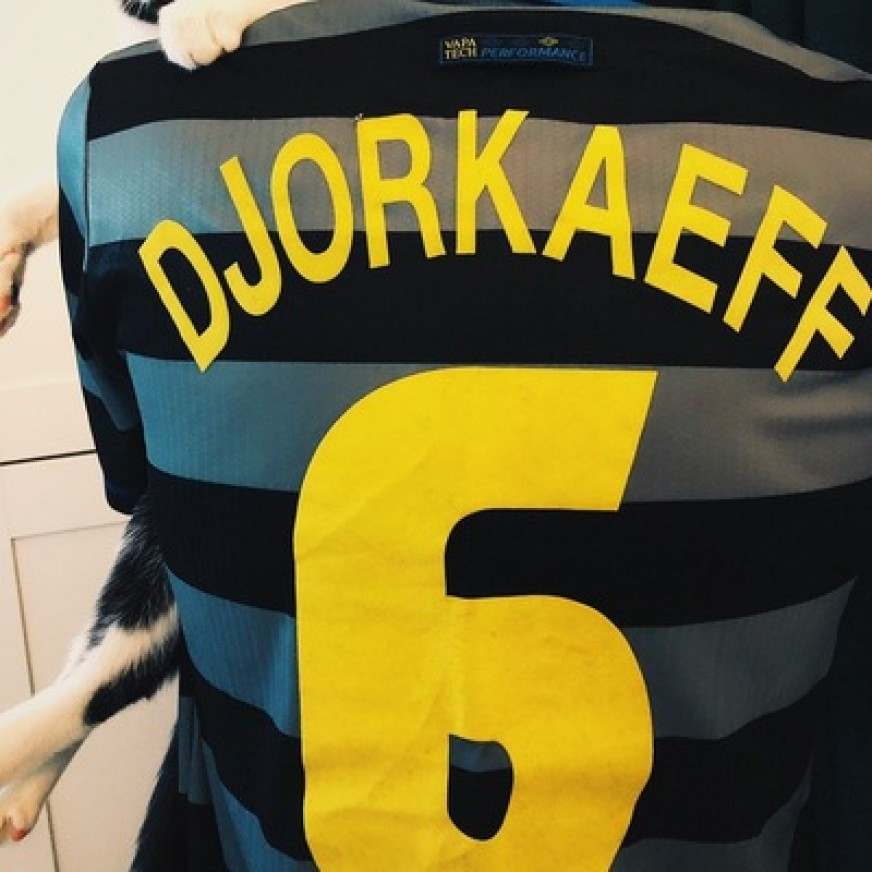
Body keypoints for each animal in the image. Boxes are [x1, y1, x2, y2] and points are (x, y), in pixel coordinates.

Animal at [0, 0, 313, 846]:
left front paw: (203, 16)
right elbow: (47, 184)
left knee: (106, 679)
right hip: (150, 549)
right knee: (95, 667)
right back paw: (21, 792)